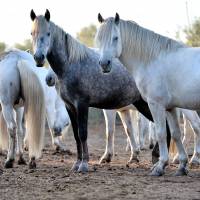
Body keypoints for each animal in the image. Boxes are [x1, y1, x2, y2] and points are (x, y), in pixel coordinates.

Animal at [95, 13, 200, 175]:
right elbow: (175, 133)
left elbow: (161, 133)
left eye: (115, 38)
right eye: (99, 37)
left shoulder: (155, 104)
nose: (104, 64)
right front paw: (182, 165)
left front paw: (160, 166)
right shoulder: (170, 107)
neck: (152, 60)